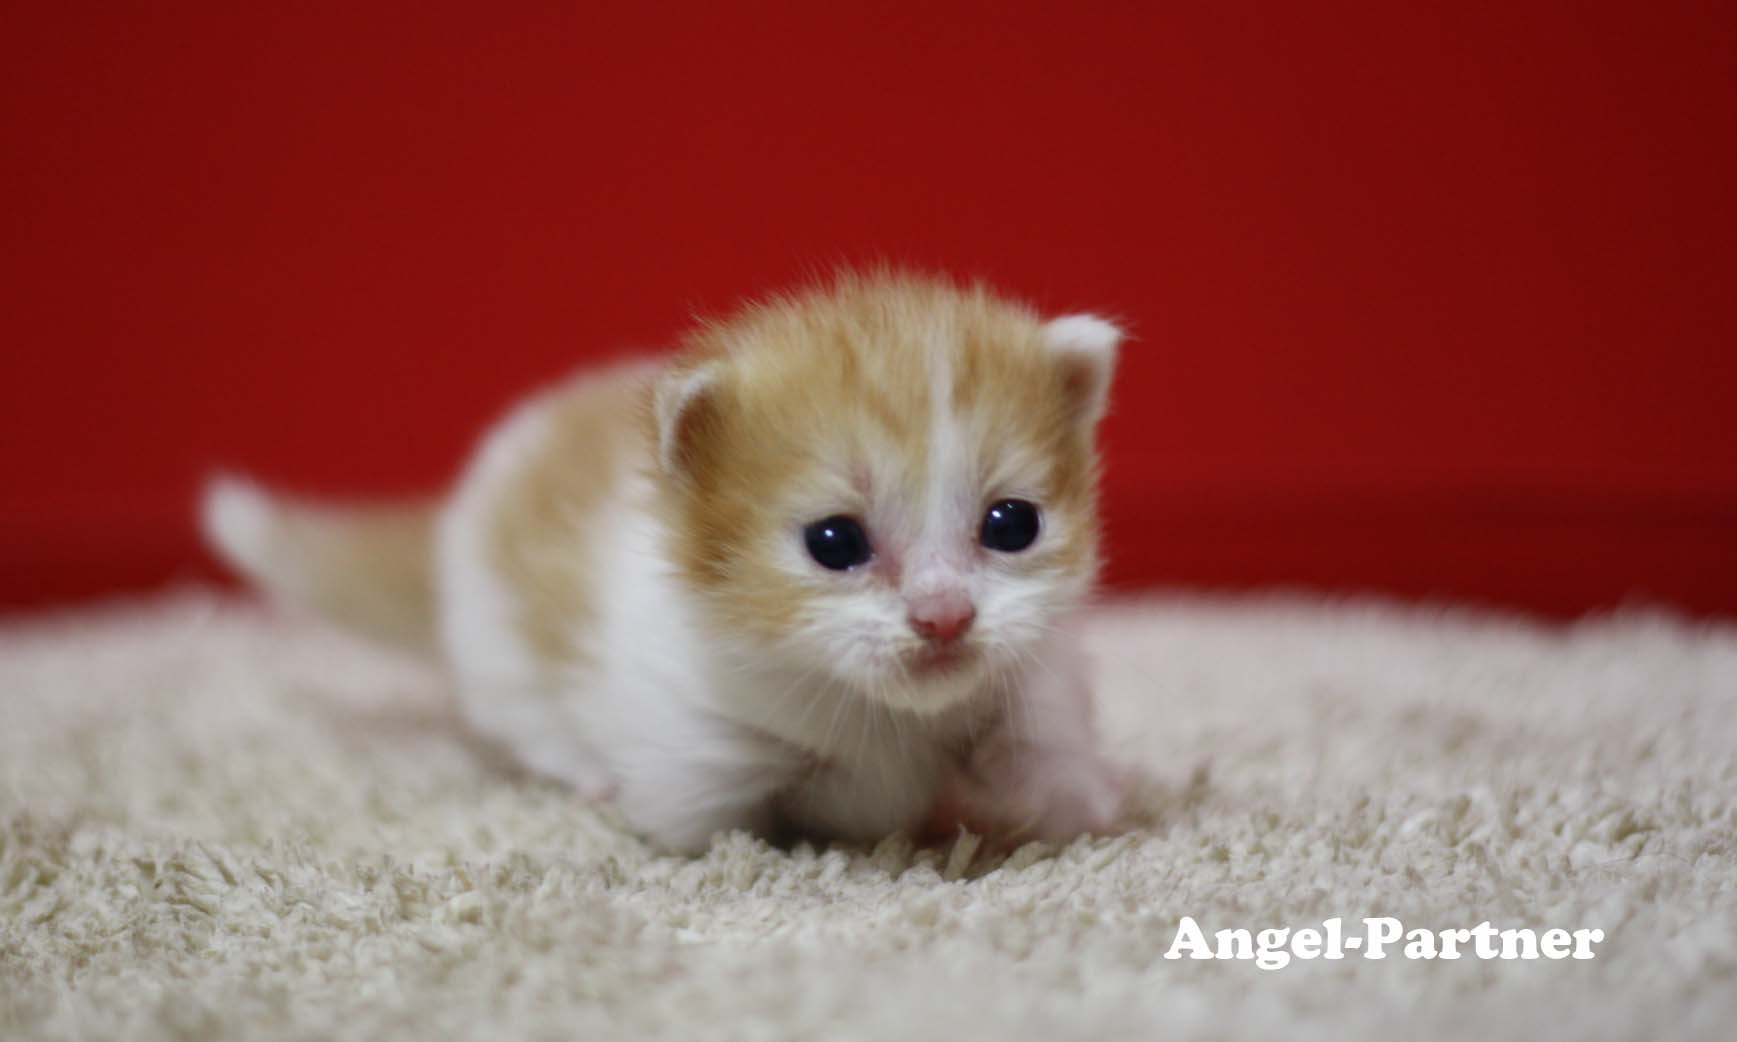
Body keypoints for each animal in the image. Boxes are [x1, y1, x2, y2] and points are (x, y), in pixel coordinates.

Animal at [203, 272, 1125, 850]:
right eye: (834, 543)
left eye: (1011, 524)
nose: (945, 617)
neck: (884, 716)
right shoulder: (695, 762)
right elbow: (720, 827)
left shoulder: (1036, 689)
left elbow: (1048, 774)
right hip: (499, 655)